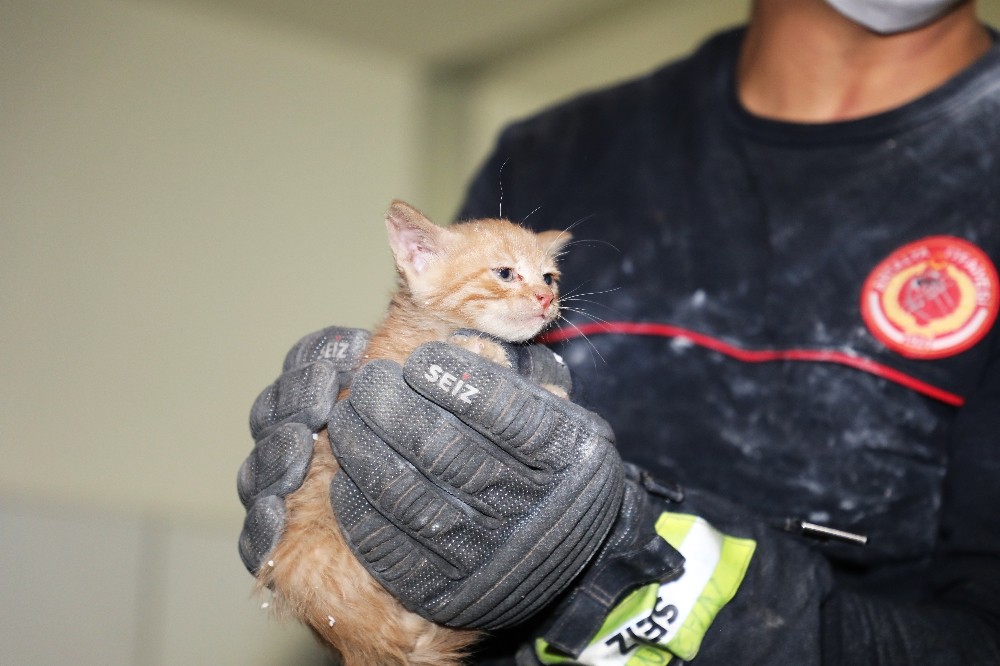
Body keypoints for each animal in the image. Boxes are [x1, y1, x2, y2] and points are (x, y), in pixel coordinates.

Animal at [258, 201, 572, 664]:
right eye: (504, 273)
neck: (431, 327)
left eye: (549, 277)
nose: (547, 298)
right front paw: (484, 350)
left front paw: (549, 390)